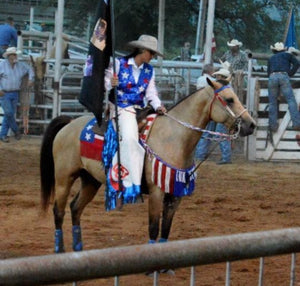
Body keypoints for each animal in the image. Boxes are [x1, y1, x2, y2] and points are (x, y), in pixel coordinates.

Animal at [39, 78, 255, 252]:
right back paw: (60, 249)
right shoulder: (156, 191)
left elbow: (166, 228)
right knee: (59, 210)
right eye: (229, 99)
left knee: (75, 208)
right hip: (64, 178)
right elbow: (153, 227)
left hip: (90, 180)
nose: (251, 124)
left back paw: (78, 248)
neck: (173, 138)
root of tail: (69, 123)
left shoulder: (175, 194)